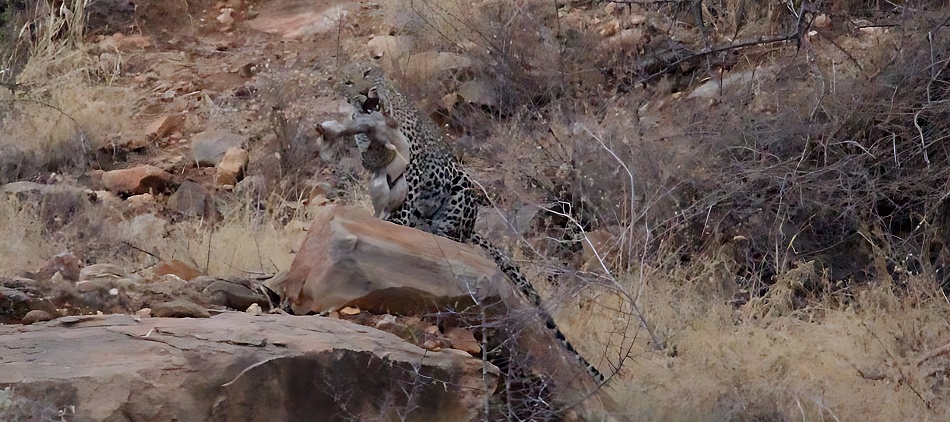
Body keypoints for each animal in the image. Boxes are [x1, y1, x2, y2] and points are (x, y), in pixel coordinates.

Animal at [331, 63, 606, 385]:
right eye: (349, 82)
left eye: (367, 73)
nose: (365, 93)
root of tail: (473, 227)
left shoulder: (411, 169)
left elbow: (403, 204)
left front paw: (394, 229)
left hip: (460, 189)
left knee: (451, 236)